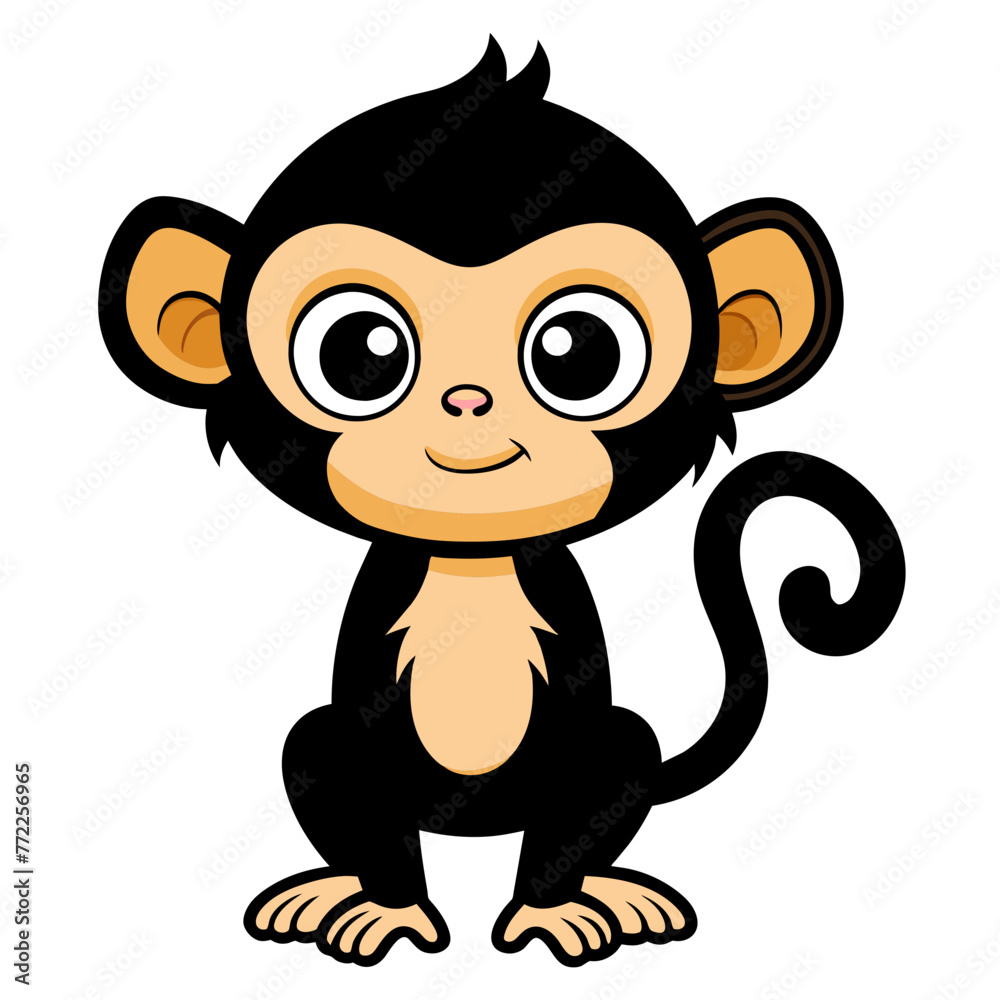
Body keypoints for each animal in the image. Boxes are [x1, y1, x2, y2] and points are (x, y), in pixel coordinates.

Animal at [99, 38, 905, 968]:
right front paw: (388, 913)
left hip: (609, 755)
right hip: (332, 749)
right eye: (359, 350)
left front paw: (554, 915)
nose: (468, 399)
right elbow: (363, 787)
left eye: (578, 350)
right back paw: (342, 891)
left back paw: (594, 897)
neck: (472, 562)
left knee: (611, 762)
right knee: (320, 747)